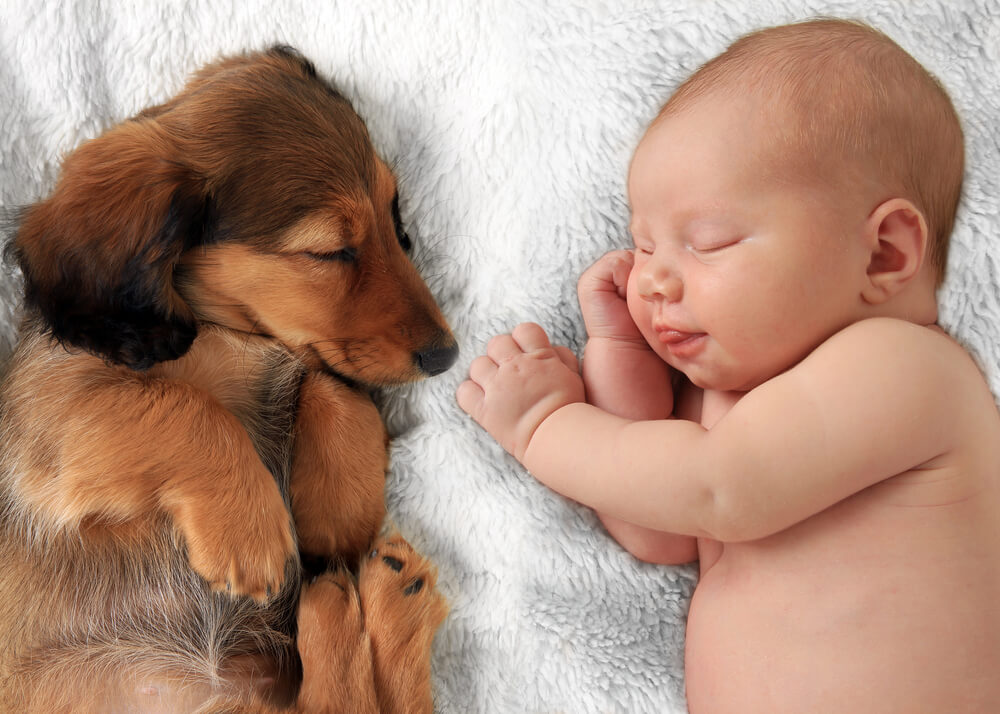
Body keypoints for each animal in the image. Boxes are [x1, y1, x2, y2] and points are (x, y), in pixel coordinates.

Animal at [0, 47, 454, 708]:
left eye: (394, 217)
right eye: (329, 252)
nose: (447, 355)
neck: (224, 329)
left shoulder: (302, 358)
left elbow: (332, 384)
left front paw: (336, 513)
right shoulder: (54, 406)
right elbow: (185, 407)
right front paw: (252, 530)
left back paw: (382, 598)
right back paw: (355, 602)